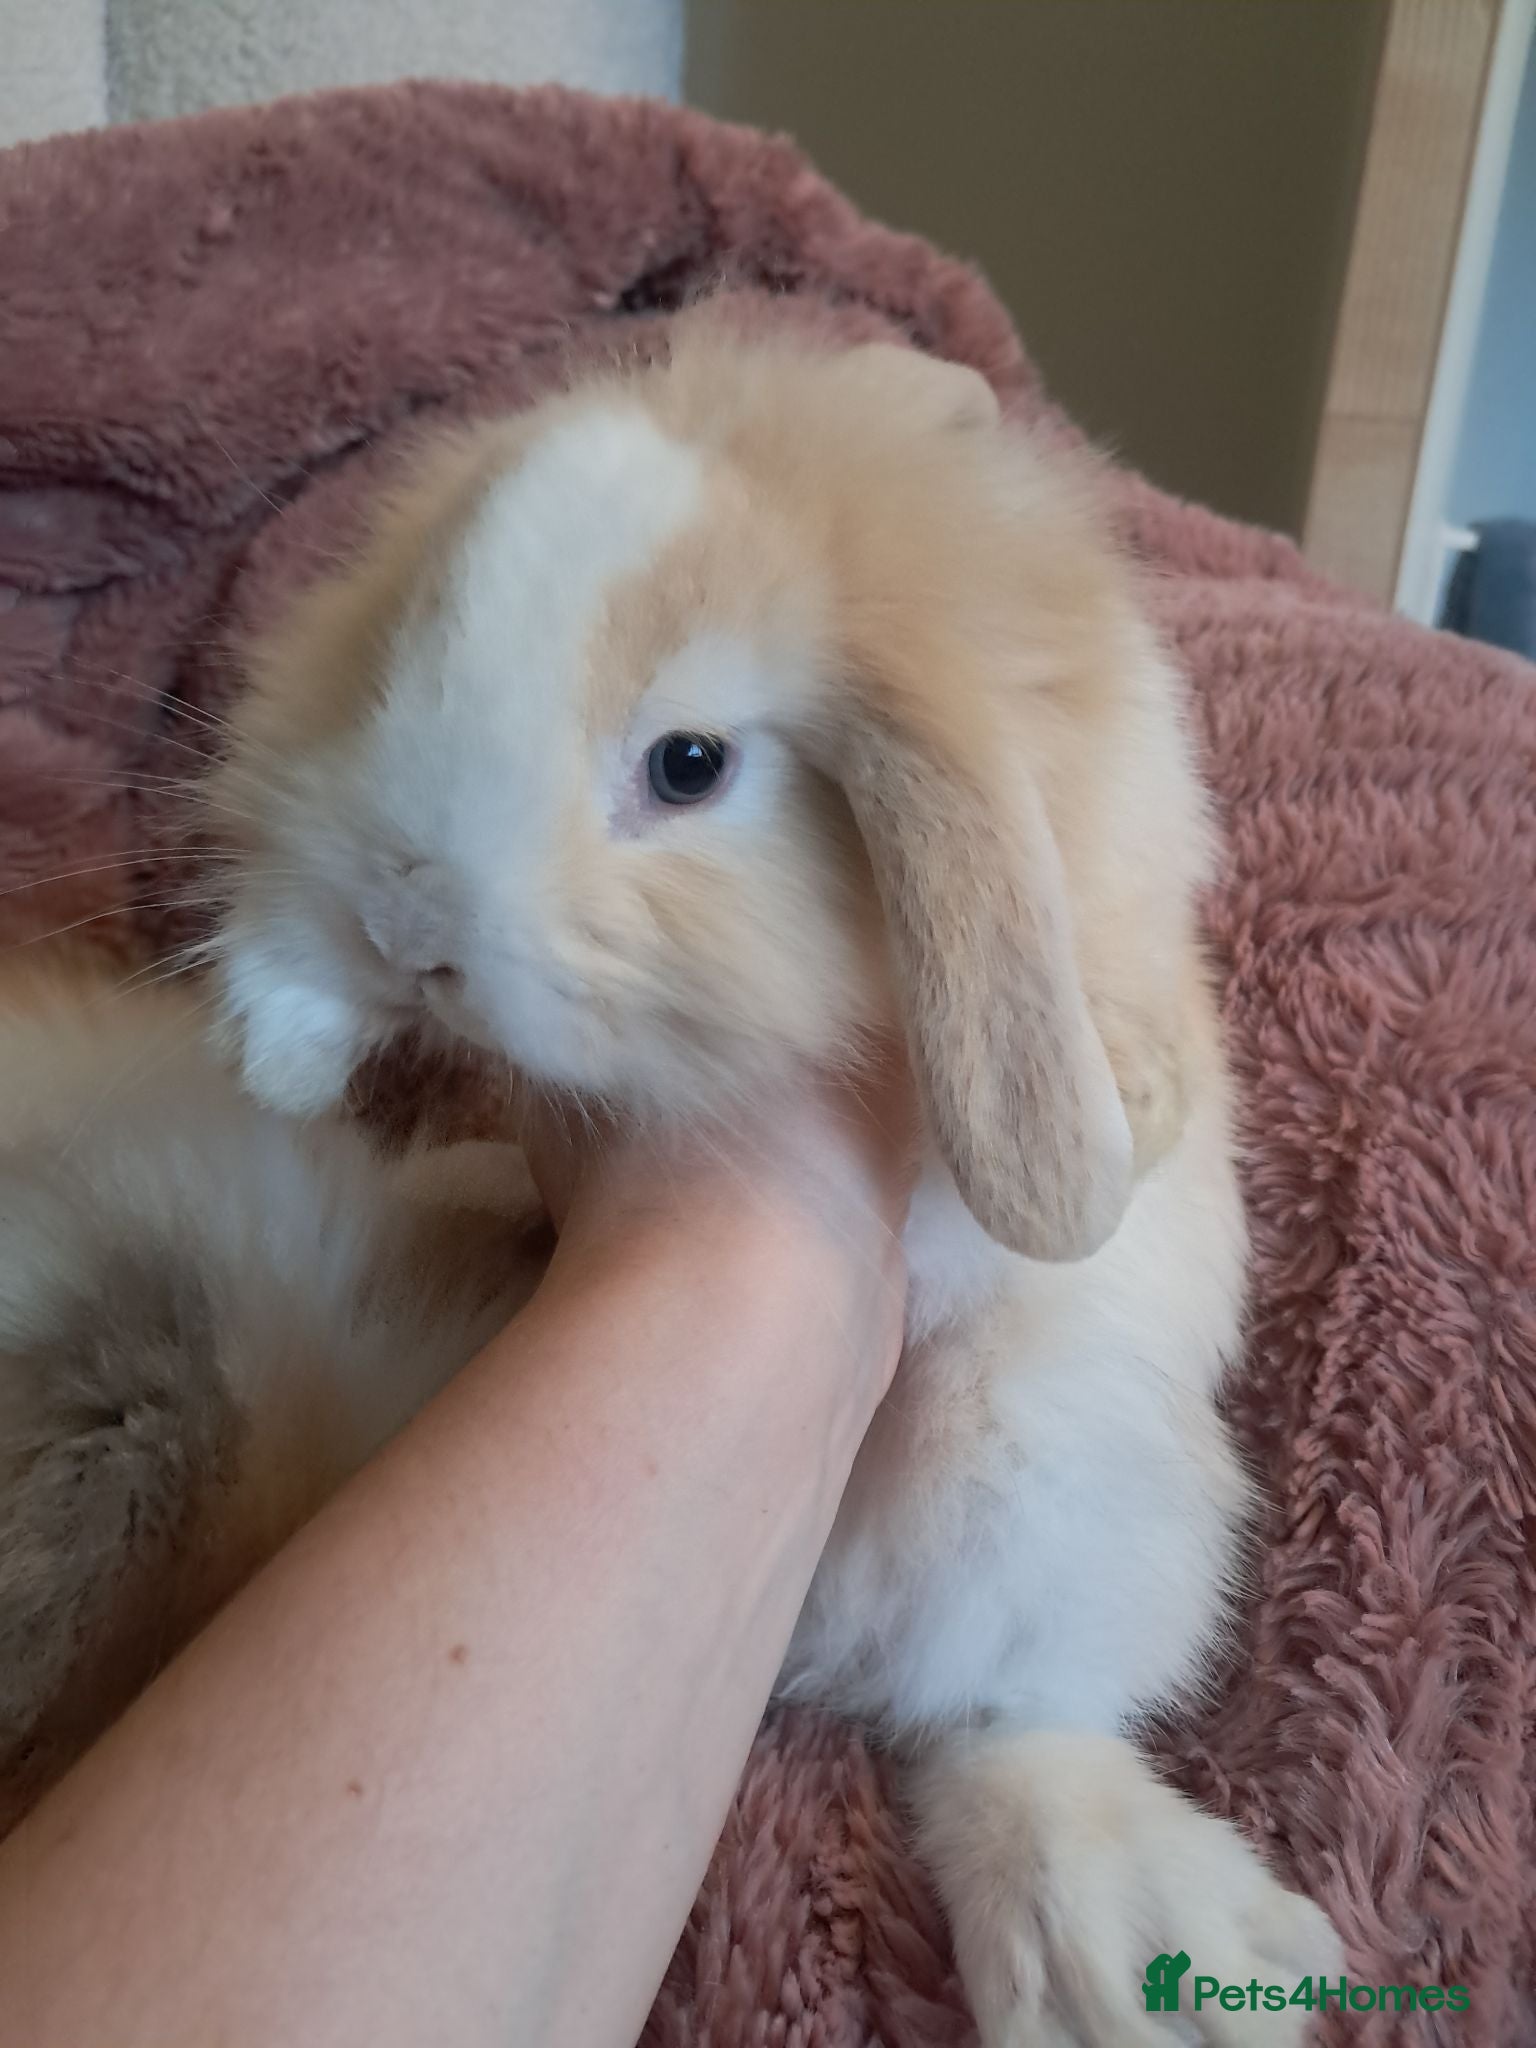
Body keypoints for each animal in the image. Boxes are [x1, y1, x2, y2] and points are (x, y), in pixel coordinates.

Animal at [207, 310, 1344, 2045]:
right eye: (408, 658)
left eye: (688, 765)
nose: (411, 926)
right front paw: (289, 1048)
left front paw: (1132, 1116)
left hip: (1038, 1470)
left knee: (996, 1716)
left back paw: (1133, 1957)